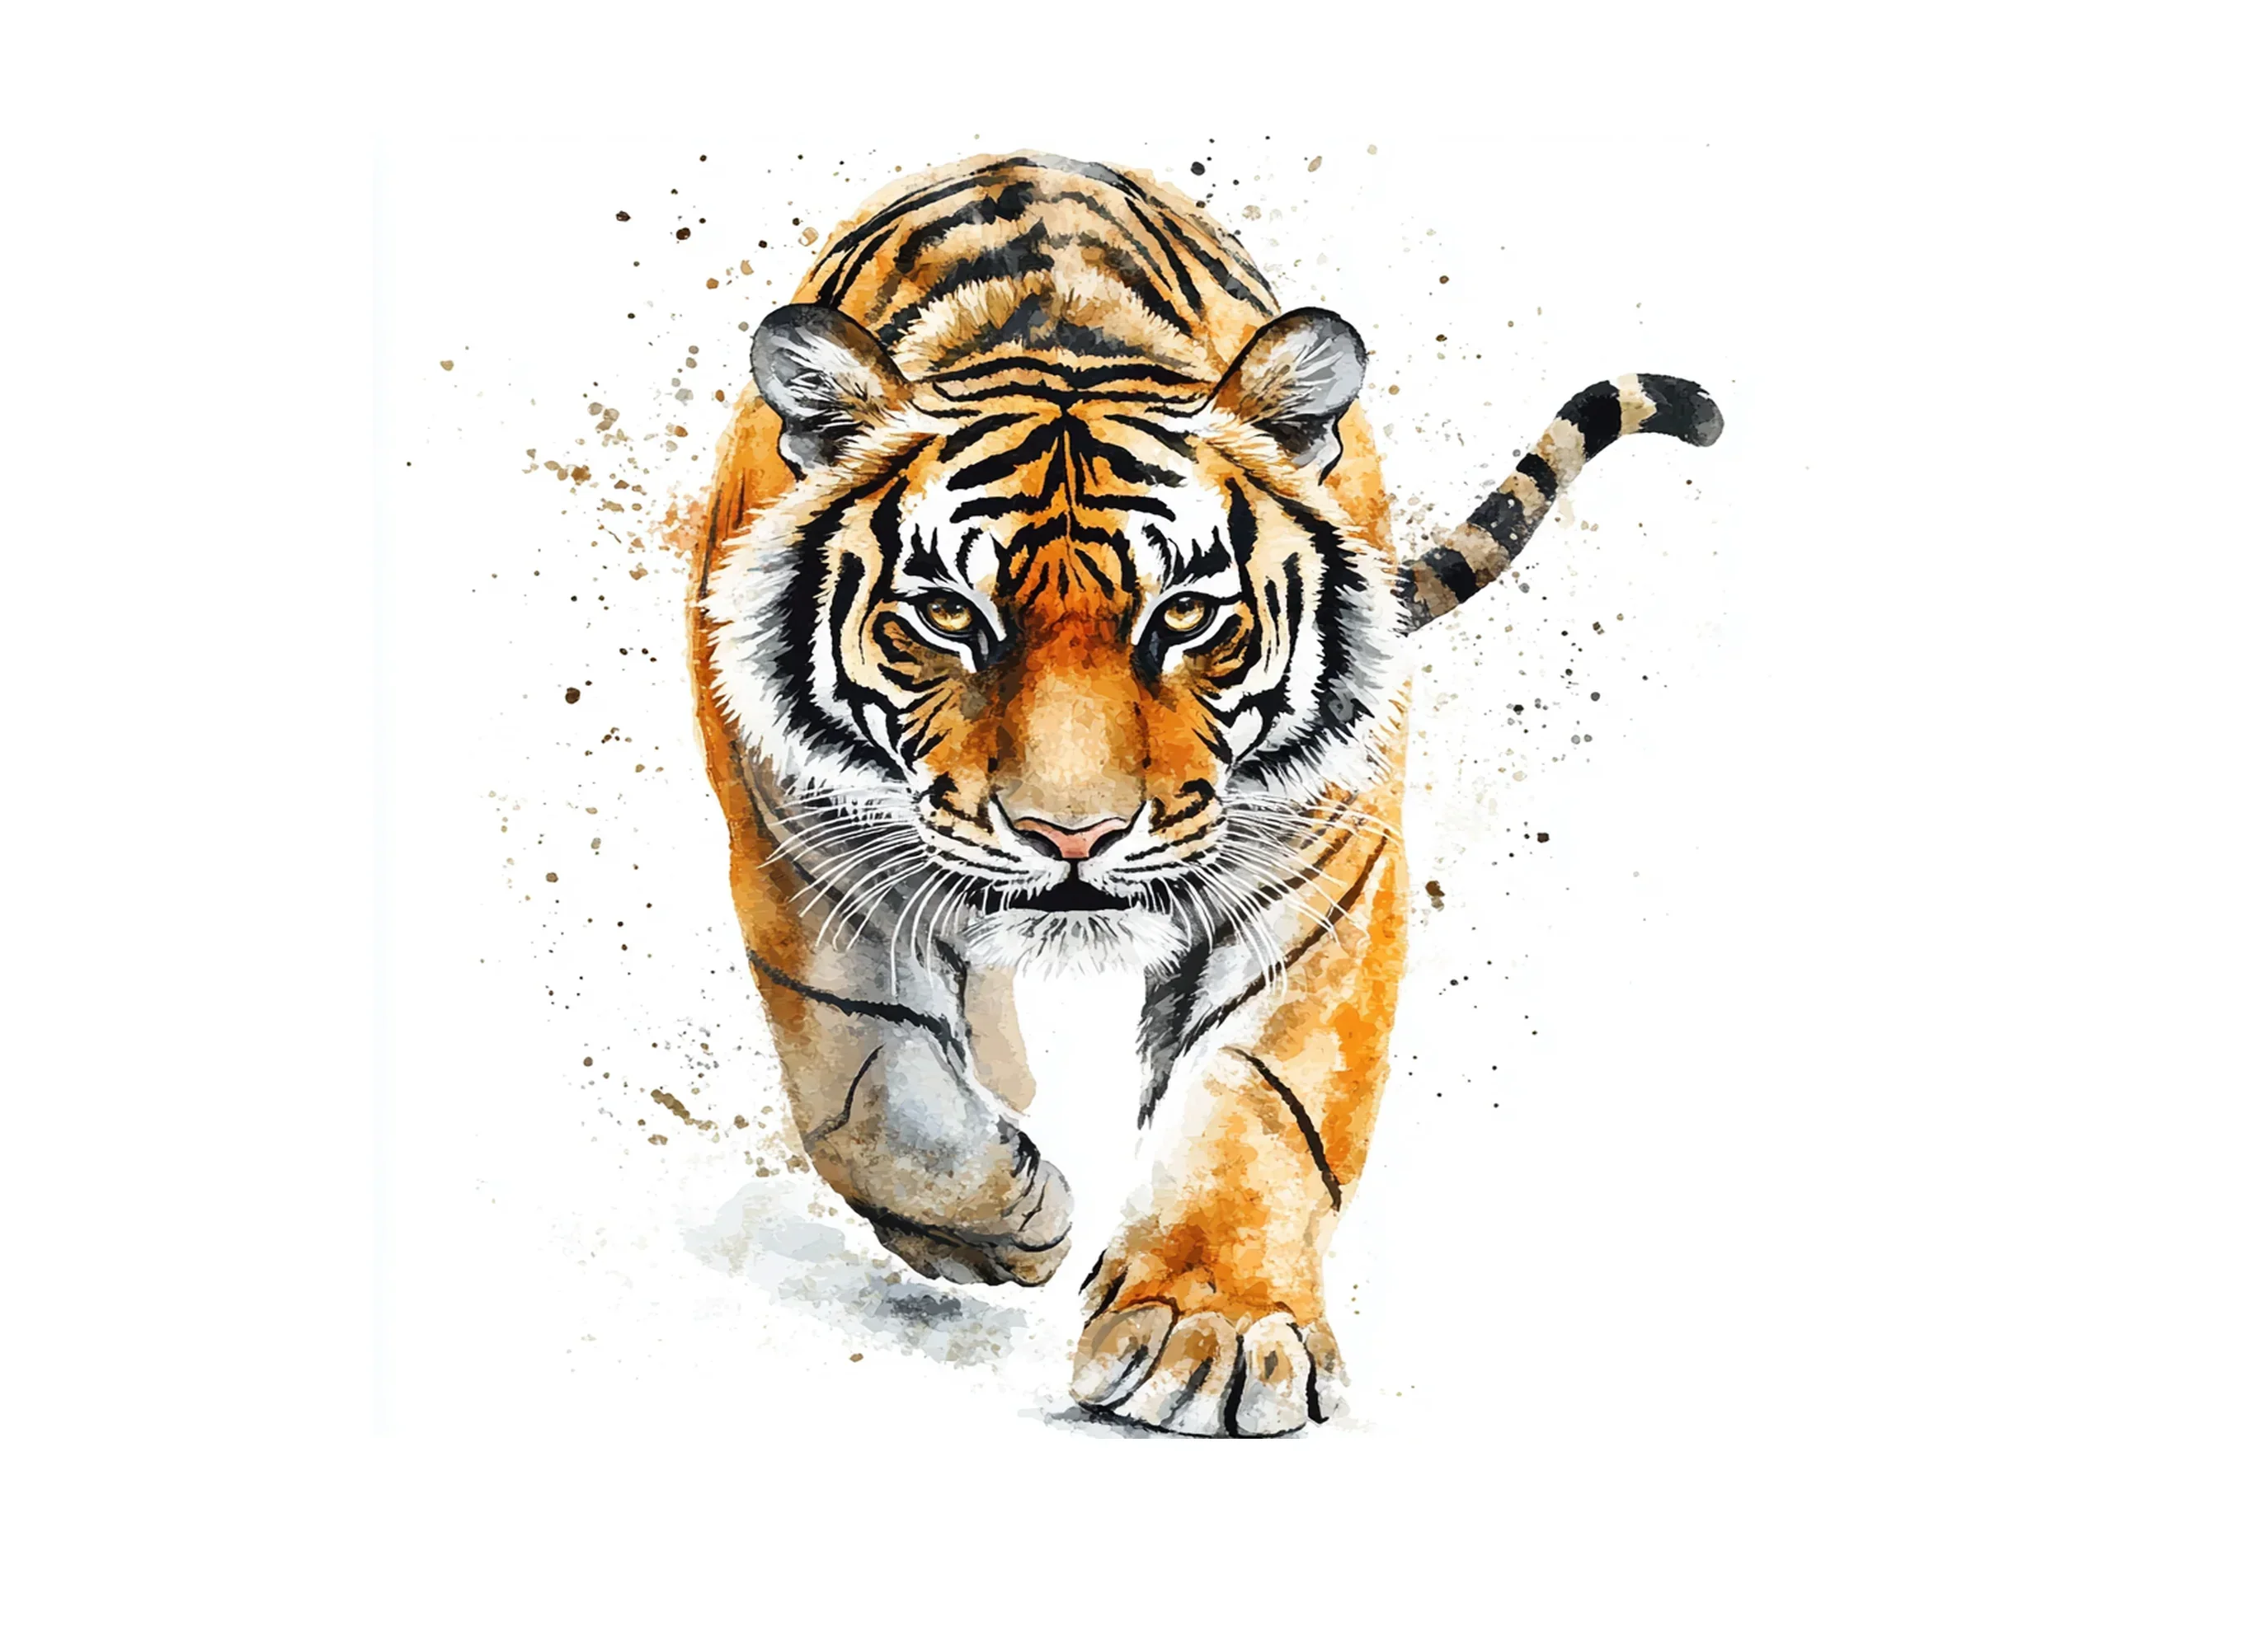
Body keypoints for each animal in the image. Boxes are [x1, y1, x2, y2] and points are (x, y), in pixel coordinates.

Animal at [688, 152, 1721, 1436]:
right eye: (946, 616)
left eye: (1182, 616)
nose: (1069, 835)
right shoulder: (797, 844)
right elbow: (864, 1086)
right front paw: (1003, 1219)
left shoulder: (1323, 867)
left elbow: (1261, 1094)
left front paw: (1209, 1331)